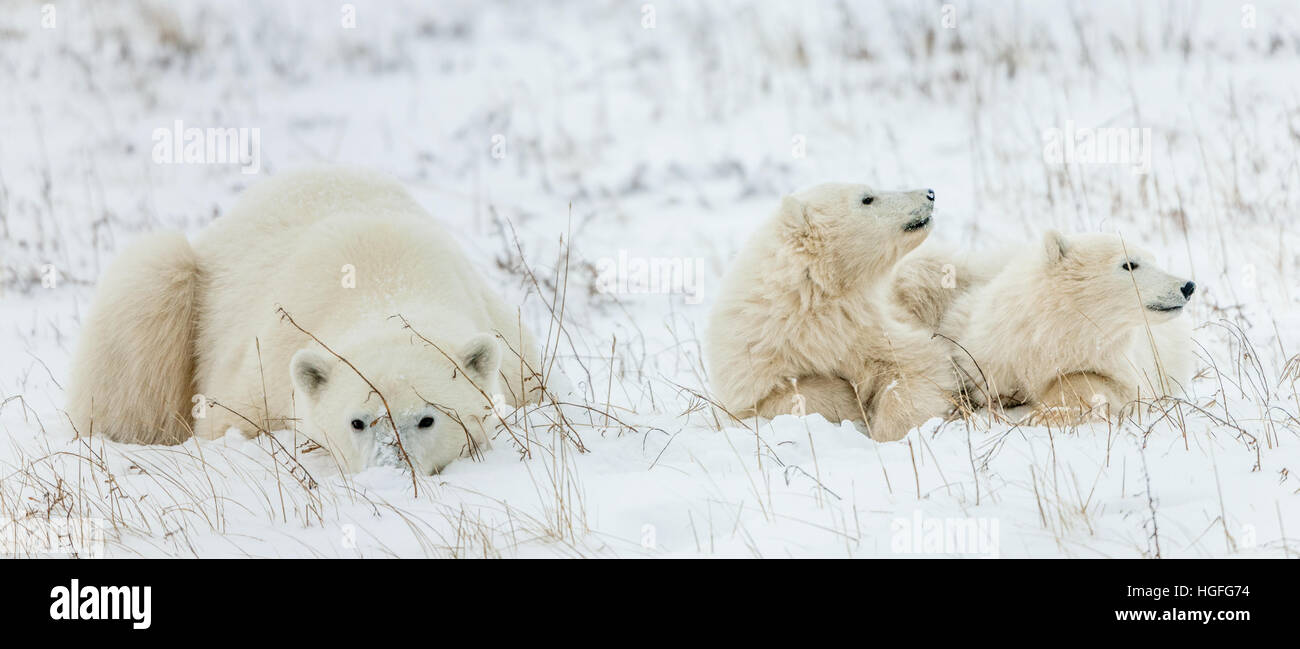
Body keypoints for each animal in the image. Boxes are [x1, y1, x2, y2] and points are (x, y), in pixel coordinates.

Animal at [707, 185, 961, 444]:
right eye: (867, 198)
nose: (929, 193)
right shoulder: (756, 353)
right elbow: (772, 400)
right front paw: (847, 399)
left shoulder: (868, 327)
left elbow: (918, 363)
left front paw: (892, 434)